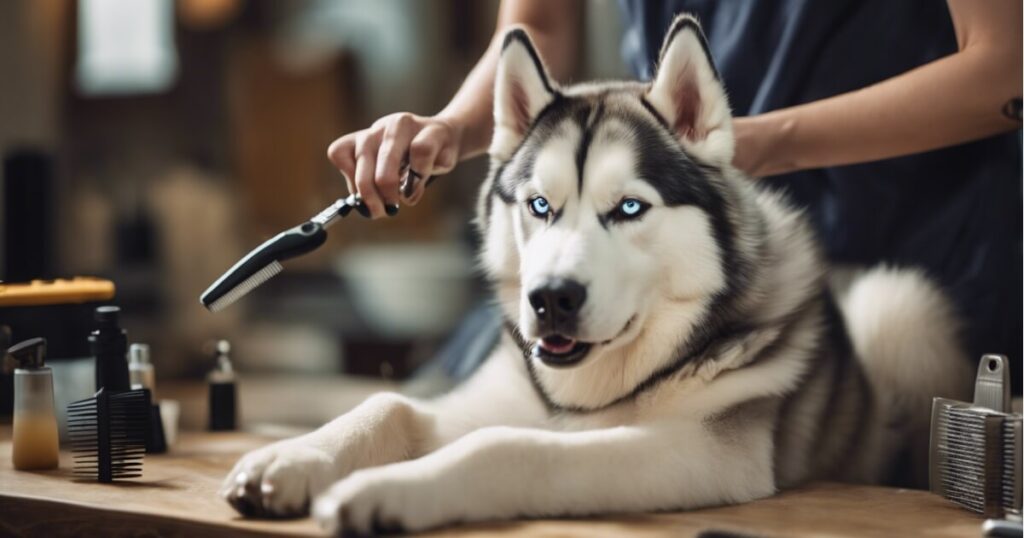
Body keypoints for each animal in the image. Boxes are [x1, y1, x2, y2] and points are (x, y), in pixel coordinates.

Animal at [220, 15, 970, 532]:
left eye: (629, 207)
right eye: (539, 206)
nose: (550, 300)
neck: (588, 394)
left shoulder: (702, 450)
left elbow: (506, 449)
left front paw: (384, 492)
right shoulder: (488, 400)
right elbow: (387, 404)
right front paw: (290, 458)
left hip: (896, 302)